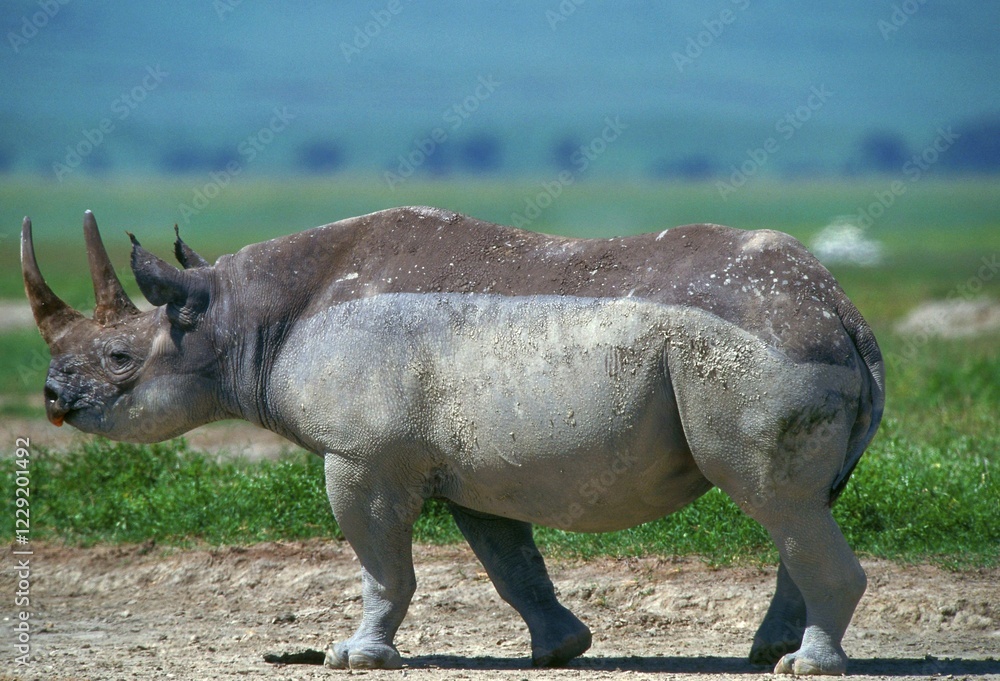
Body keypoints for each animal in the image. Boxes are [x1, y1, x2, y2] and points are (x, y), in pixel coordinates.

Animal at [22, 207, 884, 675]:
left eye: (119, 358)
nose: (55, 398)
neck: (237, 316)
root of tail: (845, 311)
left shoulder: (362, 454)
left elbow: (381, 562)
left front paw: (353, 656)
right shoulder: (476, 464)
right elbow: (511, 562)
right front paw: (560, 649)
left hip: (761, 349)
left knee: (775, 498)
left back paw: (804, 666)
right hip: (782, 342)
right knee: (796, 506)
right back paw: (767, 652)